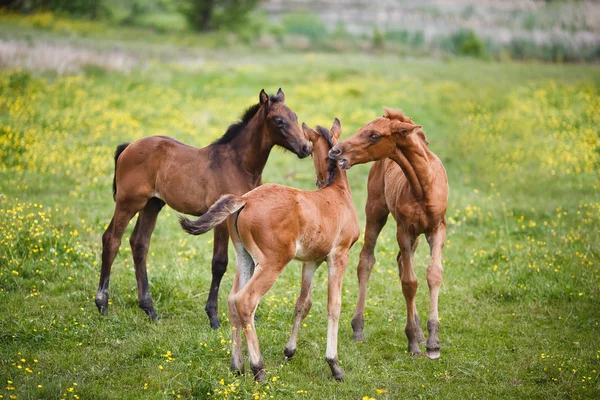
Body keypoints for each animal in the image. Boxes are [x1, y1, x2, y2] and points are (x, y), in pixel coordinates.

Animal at [178, 119, 356, 382]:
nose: (317, 181)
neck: (337, 192)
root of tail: (245, 200)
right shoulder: (339, 256)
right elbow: (334, 306)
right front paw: (334, 365)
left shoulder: (311, 260)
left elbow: (303, 303)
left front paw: (289, 351)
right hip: (273, 262)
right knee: (245, 301)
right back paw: (258, 368)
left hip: (245, 258)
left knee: (232, 300)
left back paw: (237, 366)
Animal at [328, 107, 450, 360]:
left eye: (374, 135)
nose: (335, 151)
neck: (422, 186)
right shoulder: (403, 229)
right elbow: (409, 282)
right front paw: (413, 342)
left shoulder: (437, 228)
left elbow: (433, 273)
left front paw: (433, 342)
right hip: (376, 211)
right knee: (366, 260)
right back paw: (358, 328)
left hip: (415, 234)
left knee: (402, 261)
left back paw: (420, 332)